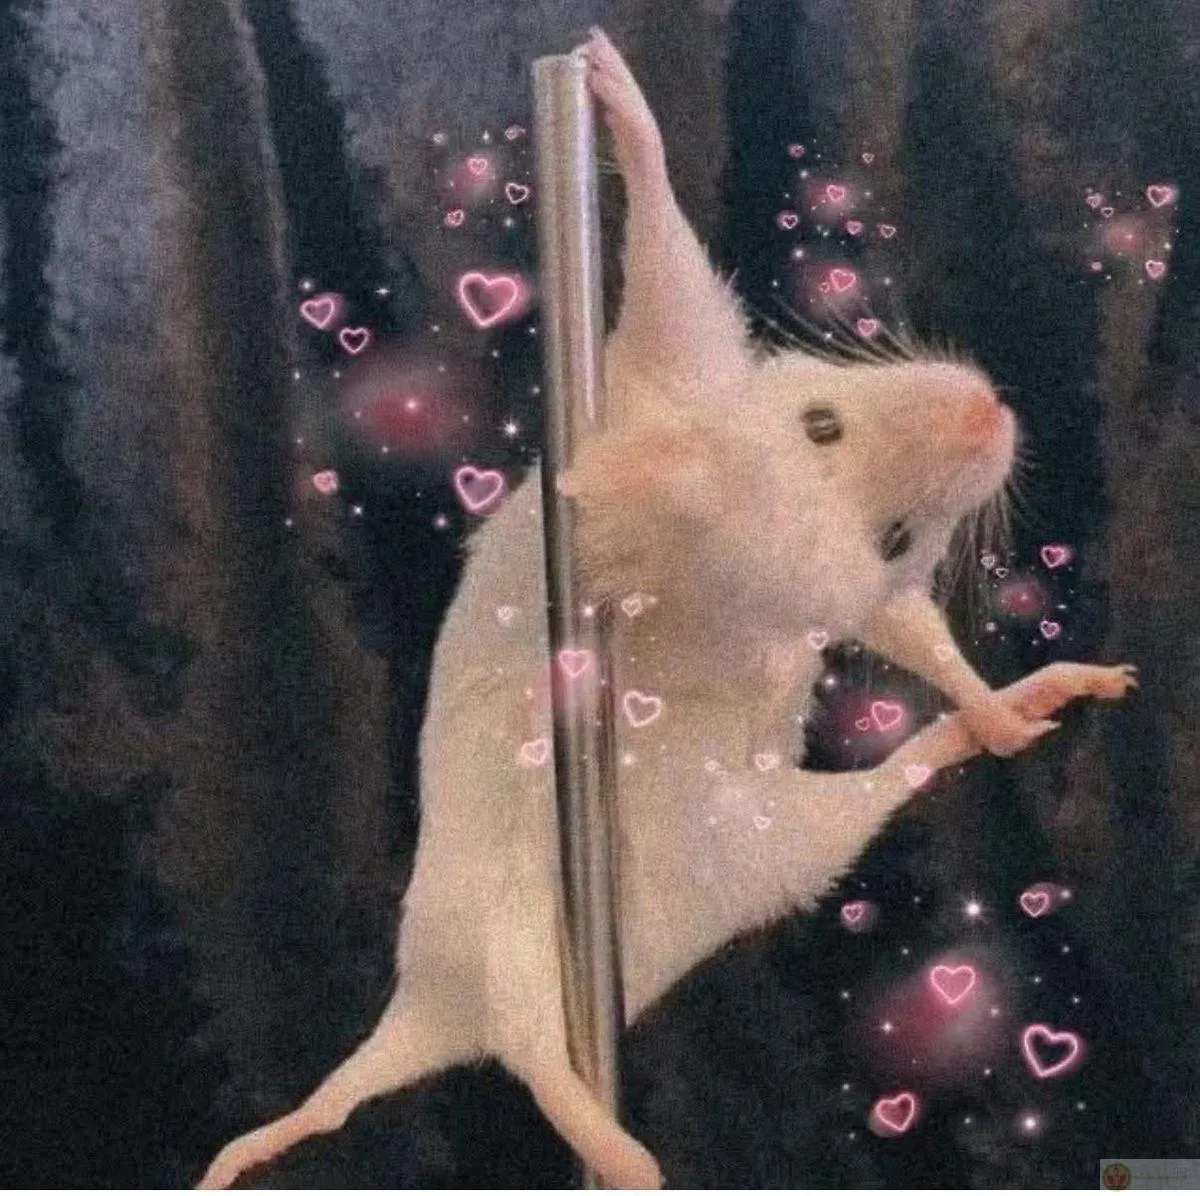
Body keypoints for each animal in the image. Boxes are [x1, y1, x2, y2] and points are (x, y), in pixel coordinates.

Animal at [198, 28, 1136, 1190]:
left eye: (895, 533)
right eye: (820, 423)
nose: (990, 408)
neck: (694, 557)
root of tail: (434, 1018)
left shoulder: (842, 590)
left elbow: (906, 628)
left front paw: (988, 699)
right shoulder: (660, 385)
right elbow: (669, 285)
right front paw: (626, 110)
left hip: (780, 838)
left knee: (891, 779)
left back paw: (1012, 709)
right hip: (507, 927)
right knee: (507, 1054)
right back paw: (608, 1146)